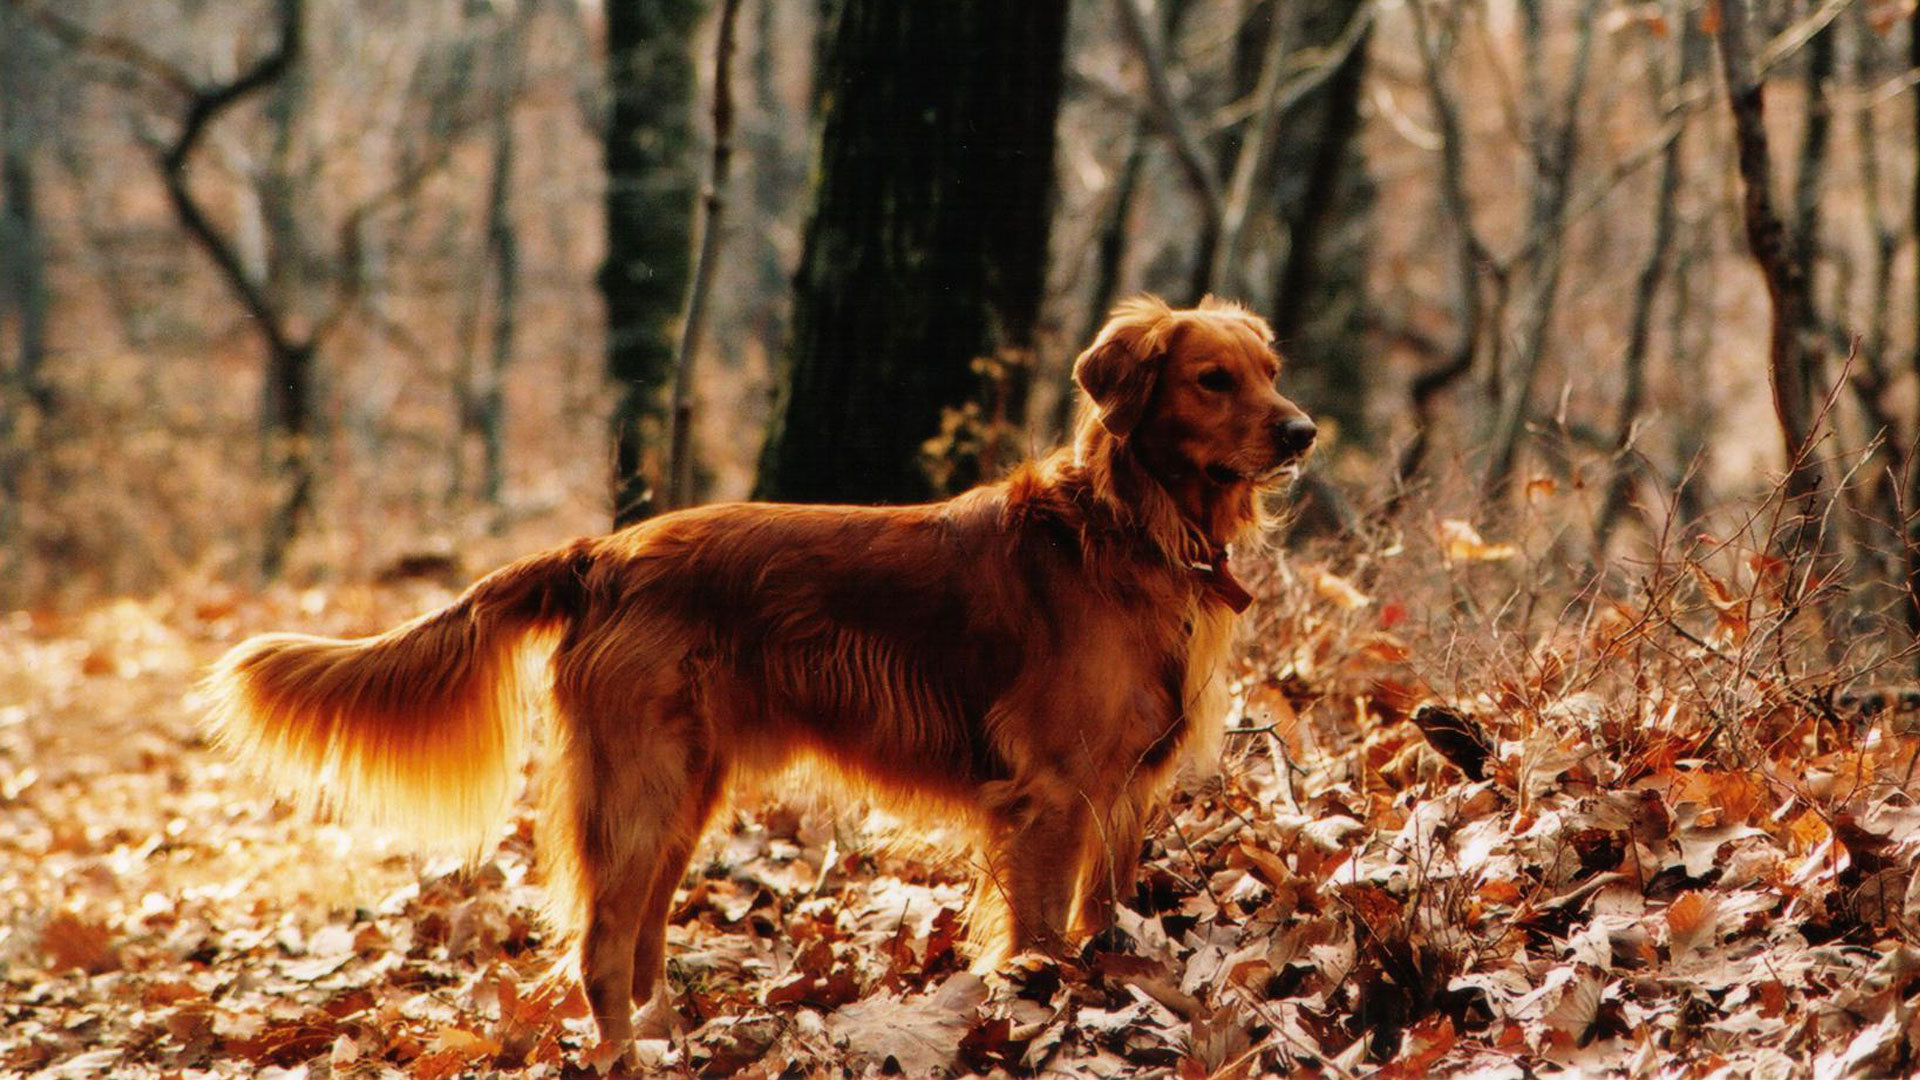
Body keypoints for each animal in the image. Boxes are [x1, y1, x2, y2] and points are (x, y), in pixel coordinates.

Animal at [214, 294, 1320, 1060]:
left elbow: (1106, 922)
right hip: (645, 784)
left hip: (684, 789)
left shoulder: (1122, 793)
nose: (1304, 430)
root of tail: (603, 554)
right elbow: (1046, 937)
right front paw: (1047, 1014)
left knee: (640, 941)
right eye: (1212, 379)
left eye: (1272, 371)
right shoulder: (1048, 794)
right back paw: (625, 1060)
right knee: (601, 946)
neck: (1132, 529)